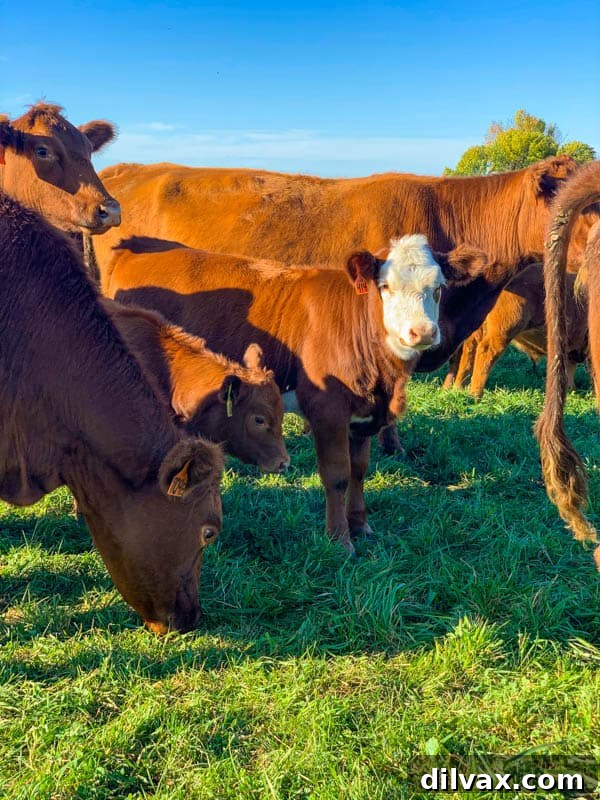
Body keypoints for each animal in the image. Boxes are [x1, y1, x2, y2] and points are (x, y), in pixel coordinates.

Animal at [445, 262, 588, 398]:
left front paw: (572, 390)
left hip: (480, 330)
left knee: (469, 351)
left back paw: (458, 388)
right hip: (503, 331)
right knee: (486, 351)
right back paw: (475, 395)